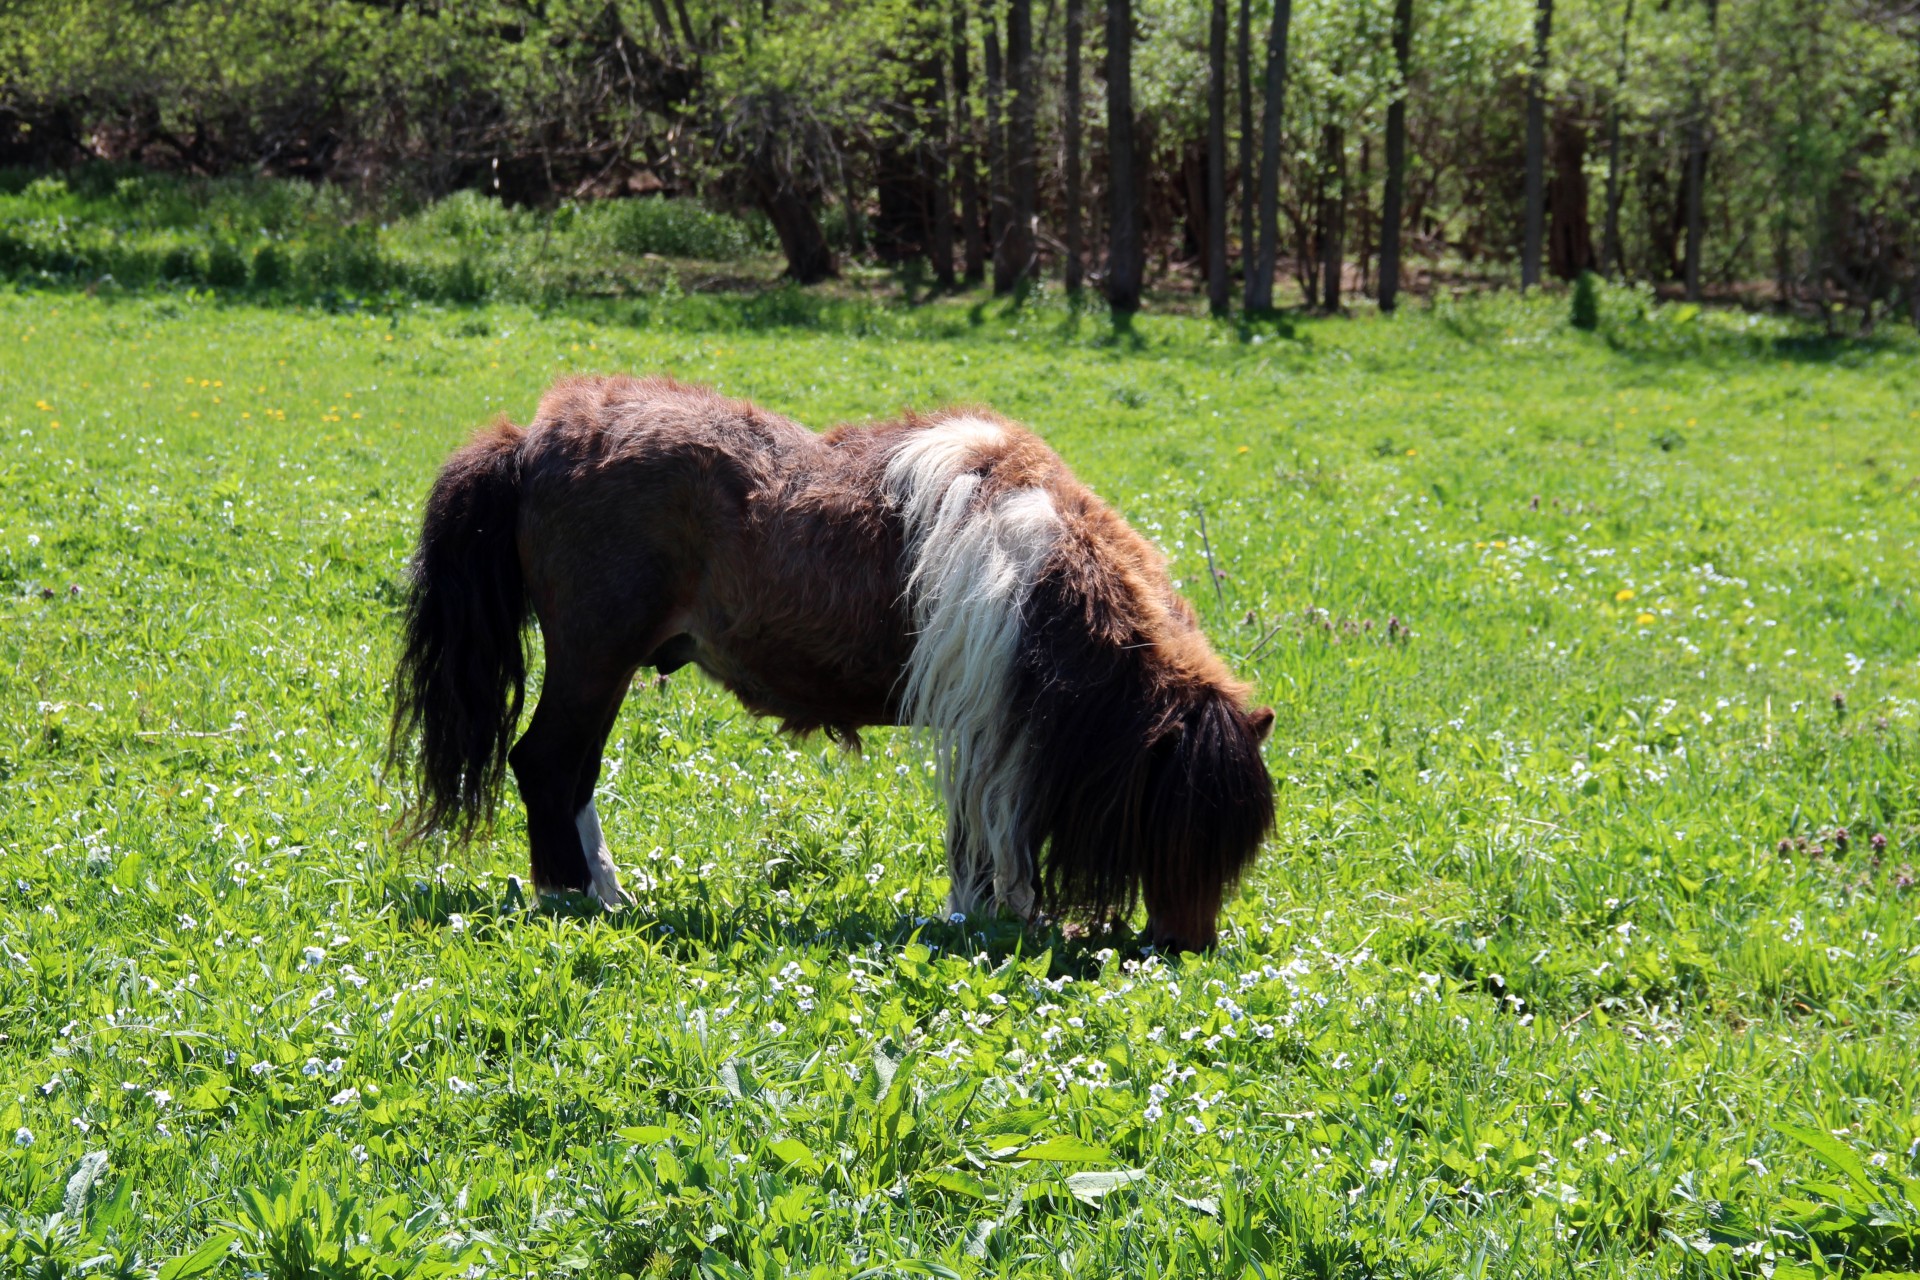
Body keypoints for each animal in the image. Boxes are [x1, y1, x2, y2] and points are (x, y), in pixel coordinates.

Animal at [385, 376, 1274, 948]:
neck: (1035, 574)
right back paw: (570, 898)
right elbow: (992, 831)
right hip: (593, 660)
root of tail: (530, 441)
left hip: (603, 670)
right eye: (1185, 822)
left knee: (573, 775)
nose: (1189, 946)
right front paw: (1002, 916)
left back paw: (607, 892)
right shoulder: (990, 731)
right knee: (545, 763)